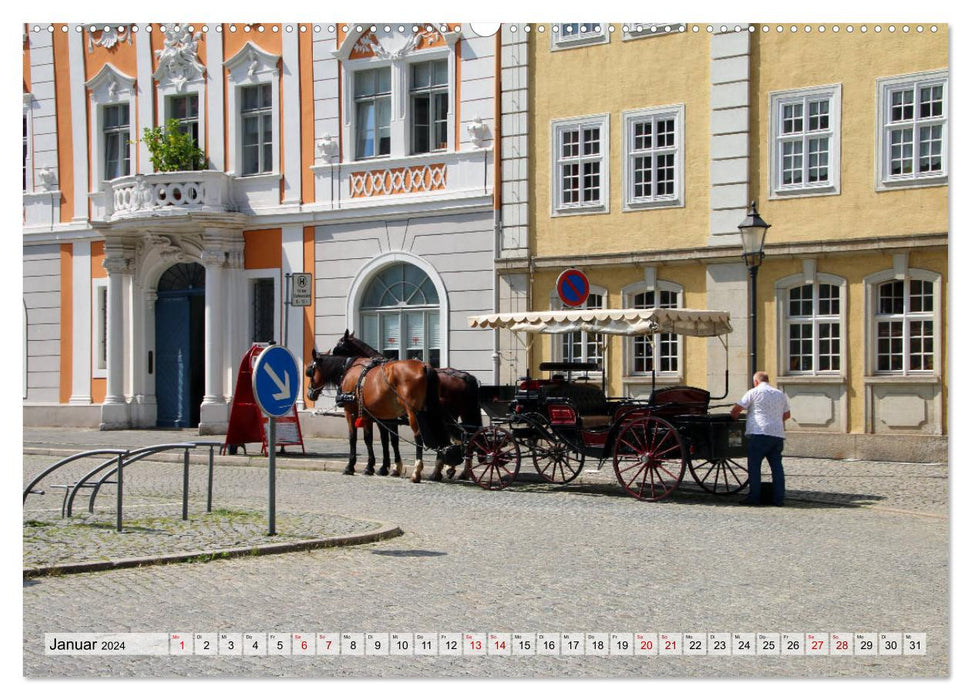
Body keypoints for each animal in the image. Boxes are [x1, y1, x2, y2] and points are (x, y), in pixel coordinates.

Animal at [308, 348, 452, 482]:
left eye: (310, 371)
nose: (309, 394)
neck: (349, 371)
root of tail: (424, 366)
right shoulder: (379, 417)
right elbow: (385, 440)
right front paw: (383, 467)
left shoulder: (353, 413)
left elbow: (357, 438)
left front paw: (353, 467)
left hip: (414, 413)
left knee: (419, 438)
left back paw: (417, 472)